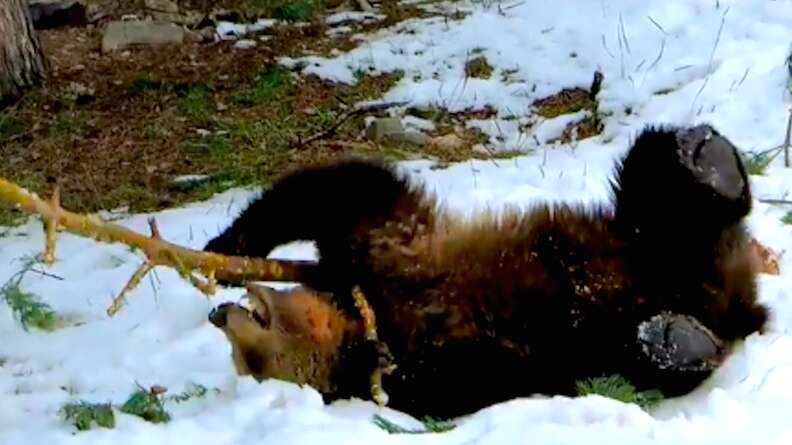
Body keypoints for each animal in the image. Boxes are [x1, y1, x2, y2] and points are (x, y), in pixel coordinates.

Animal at [203, 123, 770, 419]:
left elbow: (338, 191)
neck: (365, 316)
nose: (219, 316)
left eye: (245, 350)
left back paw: (706, 160)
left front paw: (225, 249)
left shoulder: (386, 251)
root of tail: (735, 296)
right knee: (632, 358)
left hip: (638, 237)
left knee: (654, 183)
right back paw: (673, 340)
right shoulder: (432, 361)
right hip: (622, 324)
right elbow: (471, 380)